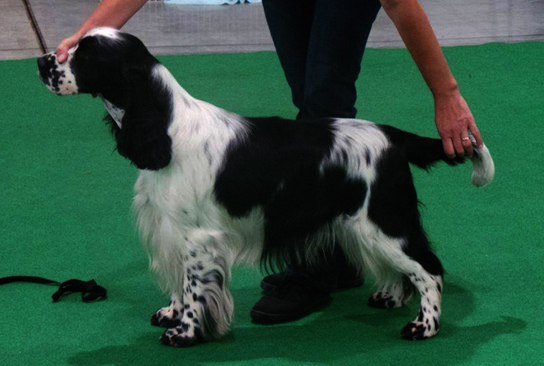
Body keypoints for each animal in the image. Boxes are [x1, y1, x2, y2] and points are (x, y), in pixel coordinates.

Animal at [36, 27, 496, 346]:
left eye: (87, 54)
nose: (42, 62)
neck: (165, 127)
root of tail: (393, 136)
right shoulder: (171, 230)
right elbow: (179, 285)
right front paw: (170, 313)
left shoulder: (197, 239)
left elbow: (193, 288)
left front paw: (184, 334)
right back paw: (390, 296)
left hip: (383, 221)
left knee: (429, 269)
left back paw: (424, 325)